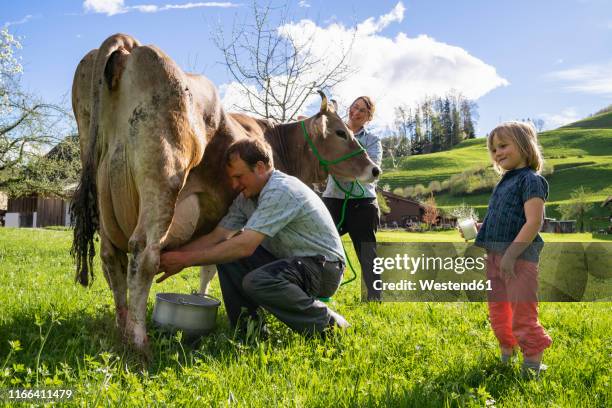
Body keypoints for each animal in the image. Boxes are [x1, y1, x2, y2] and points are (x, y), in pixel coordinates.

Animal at [70, 33, 378, 356]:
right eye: (341, 132)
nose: (374, 169)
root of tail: (130, 45)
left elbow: (208, 266)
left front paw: (202, 298)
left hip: (104, 196)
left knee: (112, 259)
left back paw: (122, 327)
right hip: (163, 177)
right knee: (143, 256)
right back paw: (139, 342)